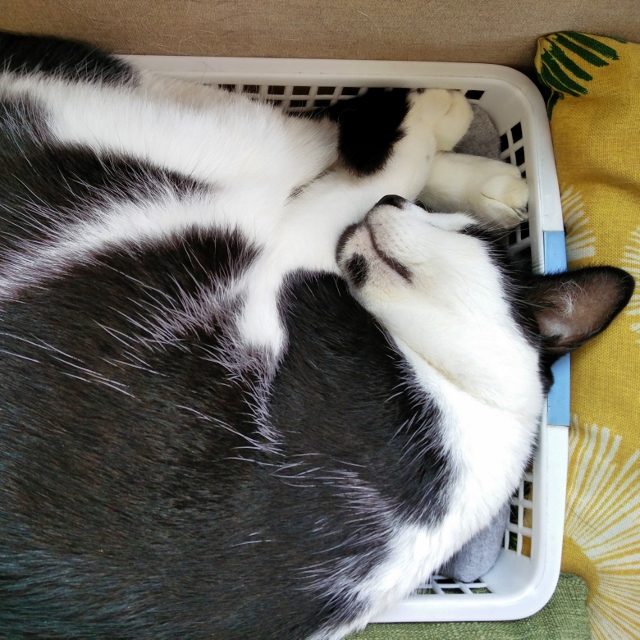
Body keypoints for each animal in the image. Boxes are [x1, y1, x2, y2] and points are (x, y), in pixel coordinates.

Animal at [0, 31, 633, 639]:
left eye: (462, 236)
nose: (398, 207)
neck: (470, 404)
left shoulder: (297, 259)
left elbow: (356, 178)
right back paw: (483, 169)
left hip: (236, 152)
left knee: (313, 138)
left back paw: (438, 117)